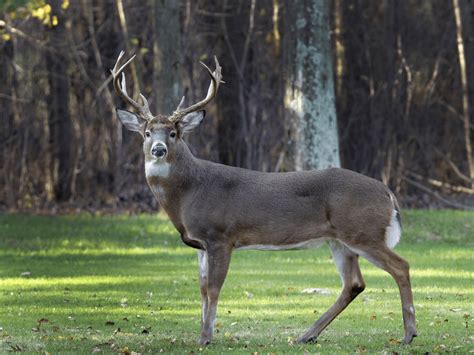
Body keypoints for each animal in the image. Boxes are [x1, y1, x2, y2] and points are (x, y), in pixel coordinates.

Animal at [110, 51, 414, 346]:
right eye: (147, 133)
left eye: (173, 133)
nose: (158, 150)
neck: (188, 193)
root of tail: (388, 194)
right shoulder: (200, 244)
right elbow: (202, 289)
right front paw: (201, 334)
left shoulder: (221, 236)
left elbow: (214, 288)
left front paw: (206, 338)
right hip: (339, 240)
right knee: (354, 283)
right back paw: (306, 335)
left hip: (362, 231)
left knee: (401, 266)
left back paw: (409, 334)